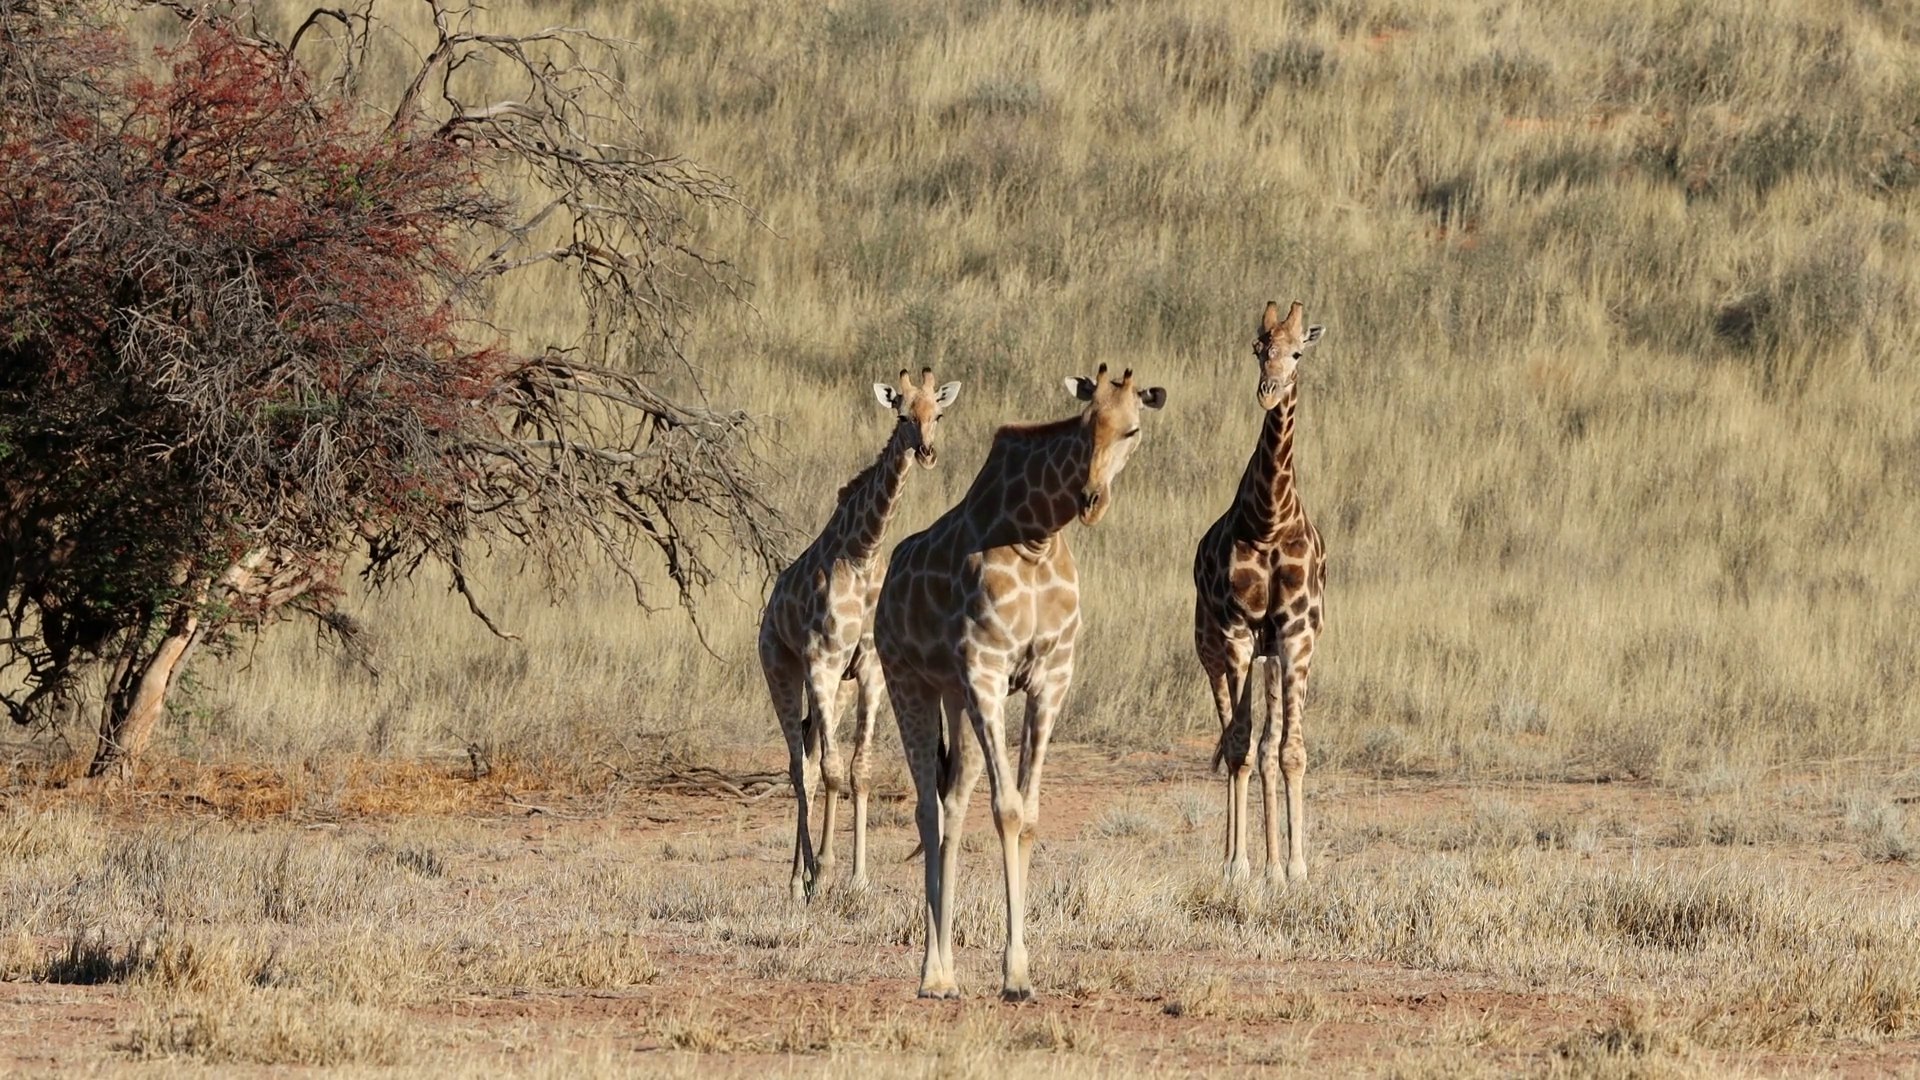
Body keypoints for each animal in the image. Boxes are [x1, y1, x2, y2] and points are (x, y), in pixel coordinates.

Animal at [758, 368, 961, 900]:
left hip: (838, 688)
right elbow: (830, 772)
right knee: (801, 768)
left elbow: (858, 771)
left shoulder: (868, 670)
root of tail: (768, 611)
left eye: (938, 413)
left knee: (811, 758)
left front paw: (859, 878)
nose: (927, 452)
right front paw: (825, 871)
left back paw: (803, 874)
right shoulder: (822, 661)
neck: (862, 554)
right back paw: (799, 880)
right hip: (783, 671)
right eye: (902, 414)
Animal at [876, 365, 1166, 1001]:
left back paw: (949, 972)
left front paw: (1018, 970)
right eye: (1084, 425)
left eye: (1132, 429)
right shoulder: (986, 669)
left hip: (955, 698)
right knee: (929, 810)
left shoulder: (1049, 679)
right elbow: (1006, 809)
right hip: (908, 682)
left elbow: (1028, 814)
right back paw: (932, 975)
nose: (1090, 500)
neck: (1036, 537)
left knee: (953, 802)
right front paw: (1014, 975)